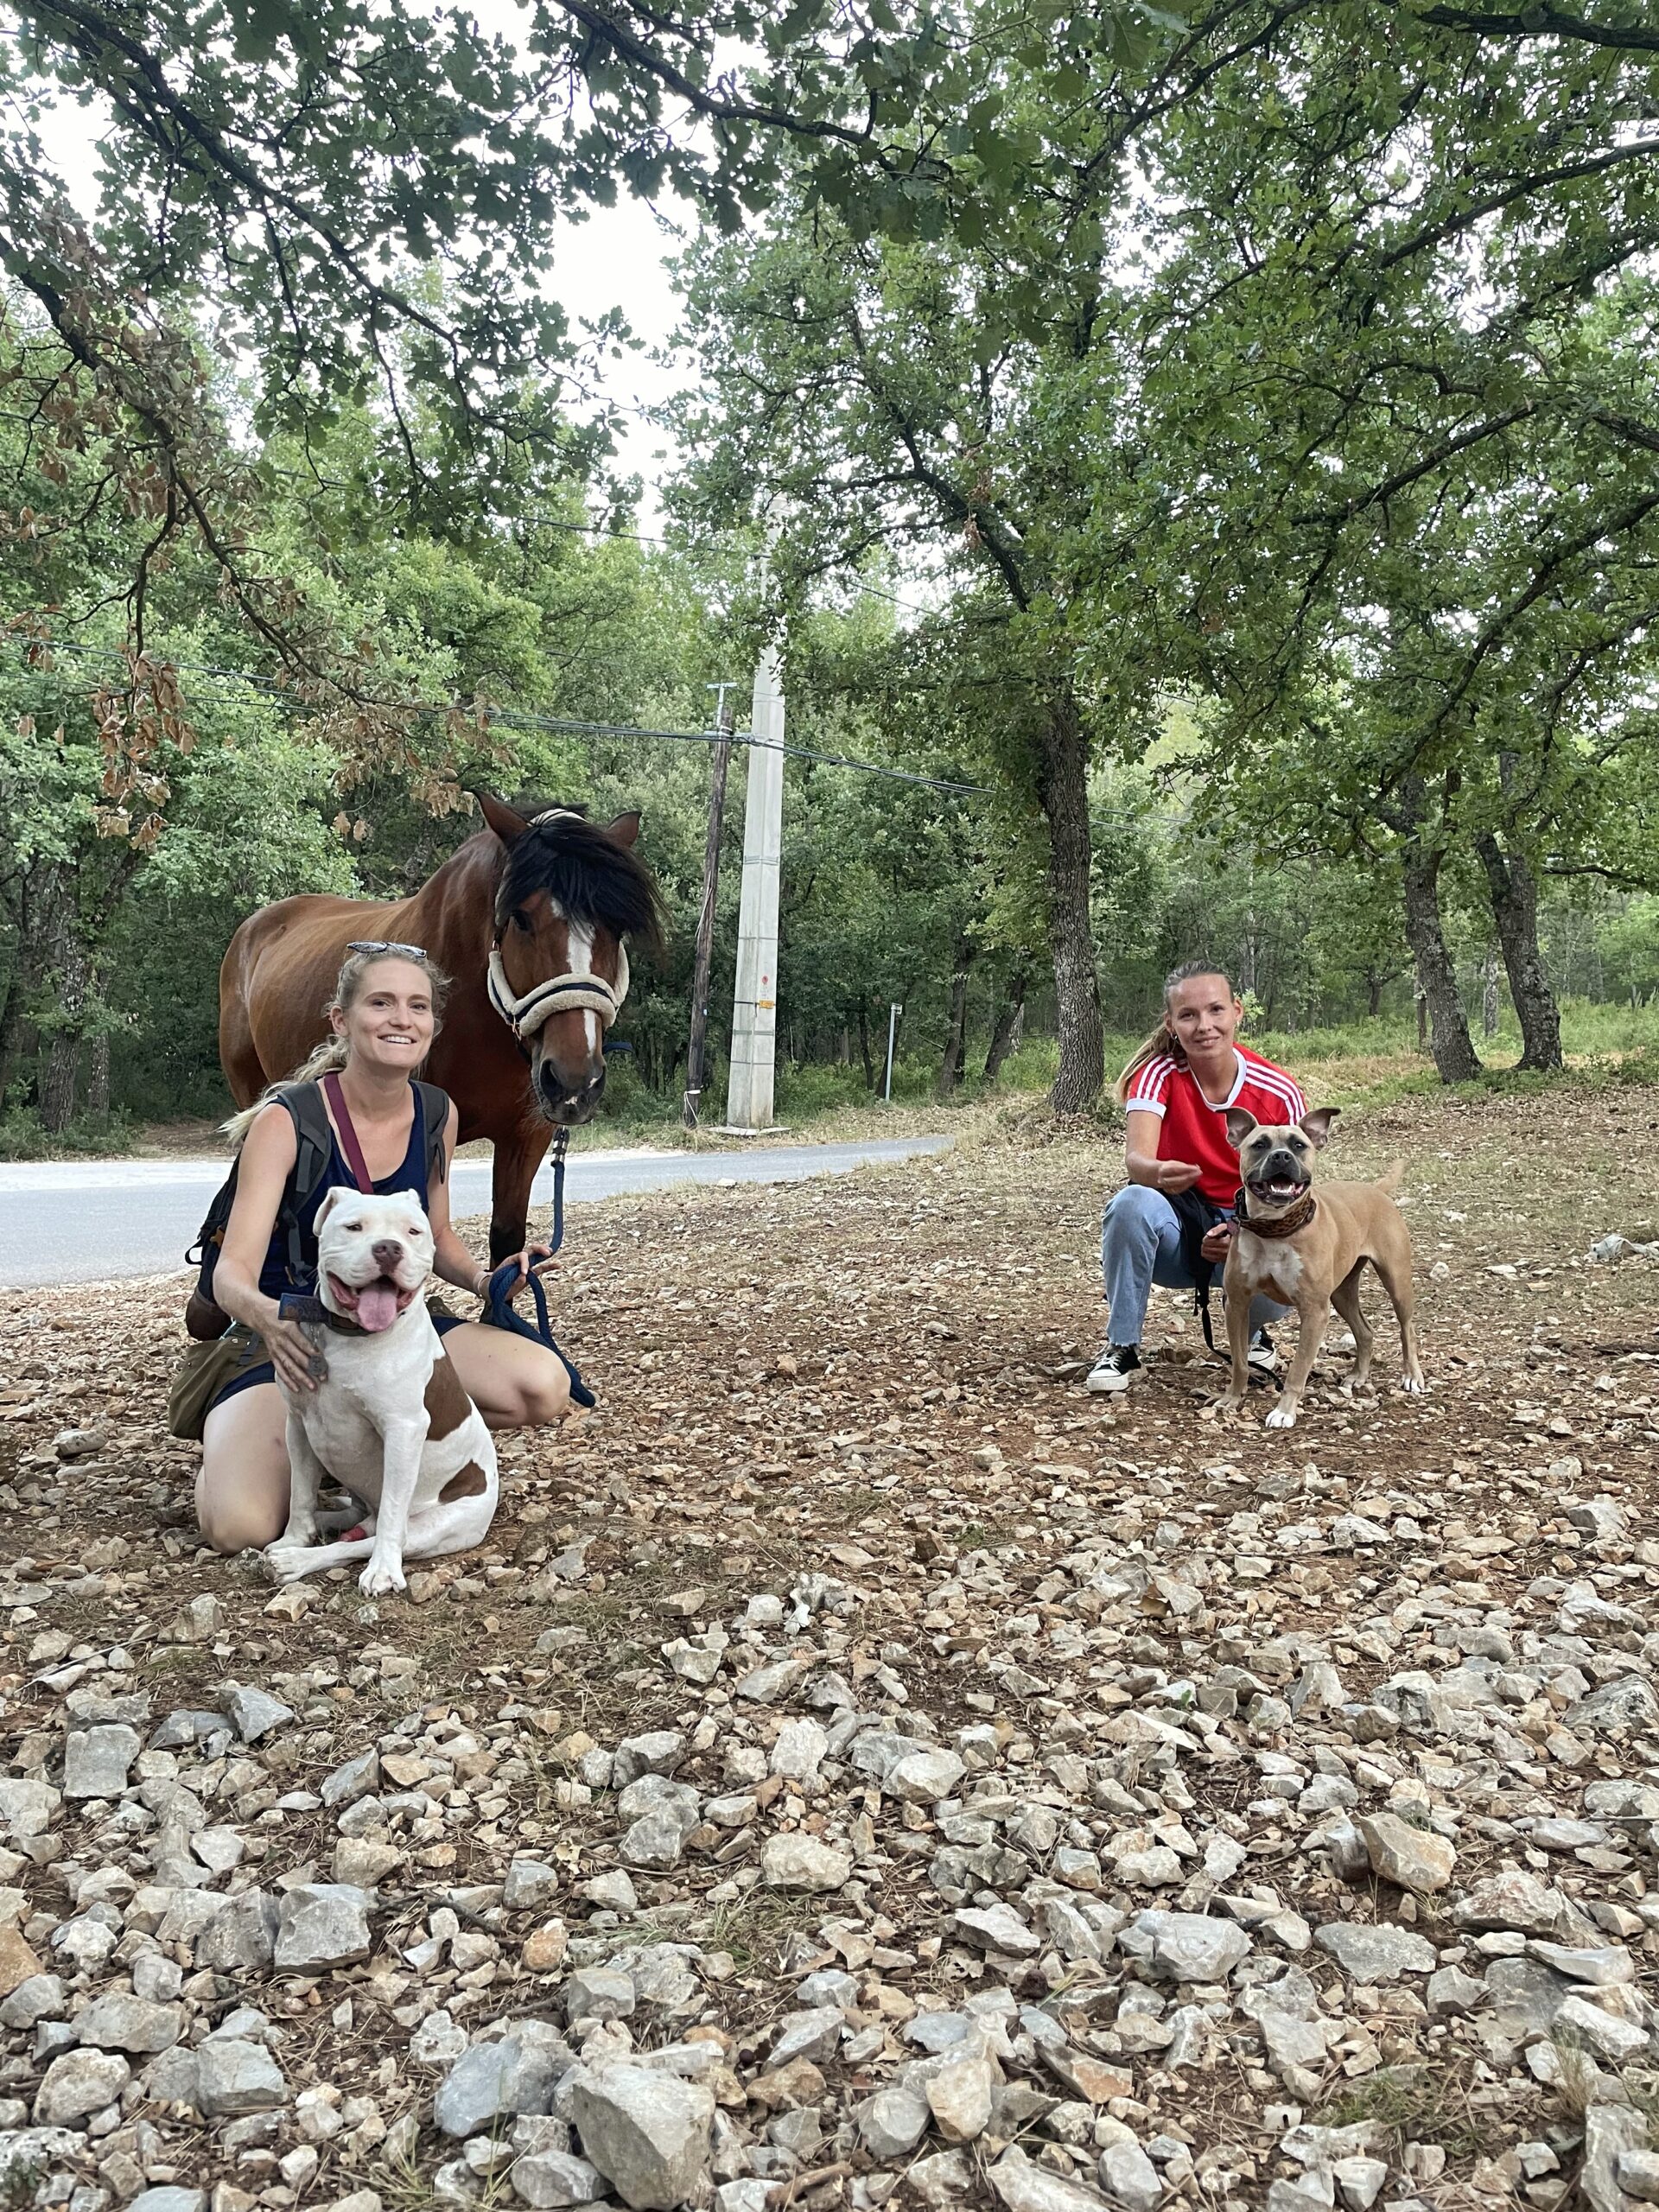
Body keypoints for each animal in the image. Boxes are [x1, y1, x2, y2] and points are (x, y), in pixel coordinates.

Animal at [263, 1185, 499, 1601]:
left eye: (413, 1232)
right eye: (354, 1227)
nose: (388, 1248)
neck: (348, 1334)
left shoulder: (403, 1430)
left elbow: (390, 1510)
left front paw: (383, 1571)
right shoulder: (299, 1423)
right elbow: (300, 1490)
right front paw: (294, 1536)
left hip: (434, 1527)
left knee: (367, 1537)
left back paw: (299, 1561)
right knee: (358, 1518)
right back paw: (323, 1522)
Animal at [1221, 1106, 1433, 1433]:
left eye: (1298, 1145)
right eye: (1260, 1145)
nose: (1281, 1157)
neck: (1276, 1230)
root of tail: (1375, 1190)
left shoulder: (1314, 1311)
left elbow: (1298, 1370)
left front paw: (1284, 1411)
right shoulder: (1237, 1304)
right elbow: (1240, 1362)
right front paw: (1232, 1398)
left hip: (1396, 1281)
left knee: (1406, 1328)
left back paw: (1412, 1375)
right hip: (1342, 1293)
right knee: (1365, 1331)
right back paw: (1358, 1376)